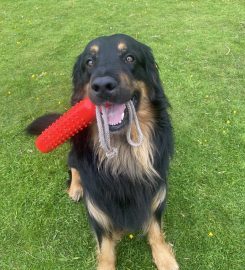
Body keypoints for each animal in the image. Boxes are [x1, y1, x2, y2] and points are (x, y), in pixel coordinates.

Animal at [27, 34, 179, 270]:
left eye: (129, 57)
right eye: (89, 62)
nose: (102, 86)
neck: (123, 152)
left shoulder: (156, 193)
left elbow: (155, 230)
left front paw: (165, 259)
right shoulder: (98, 210)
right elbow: (106, 251)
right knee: (73, 166)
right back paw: (75, 188)